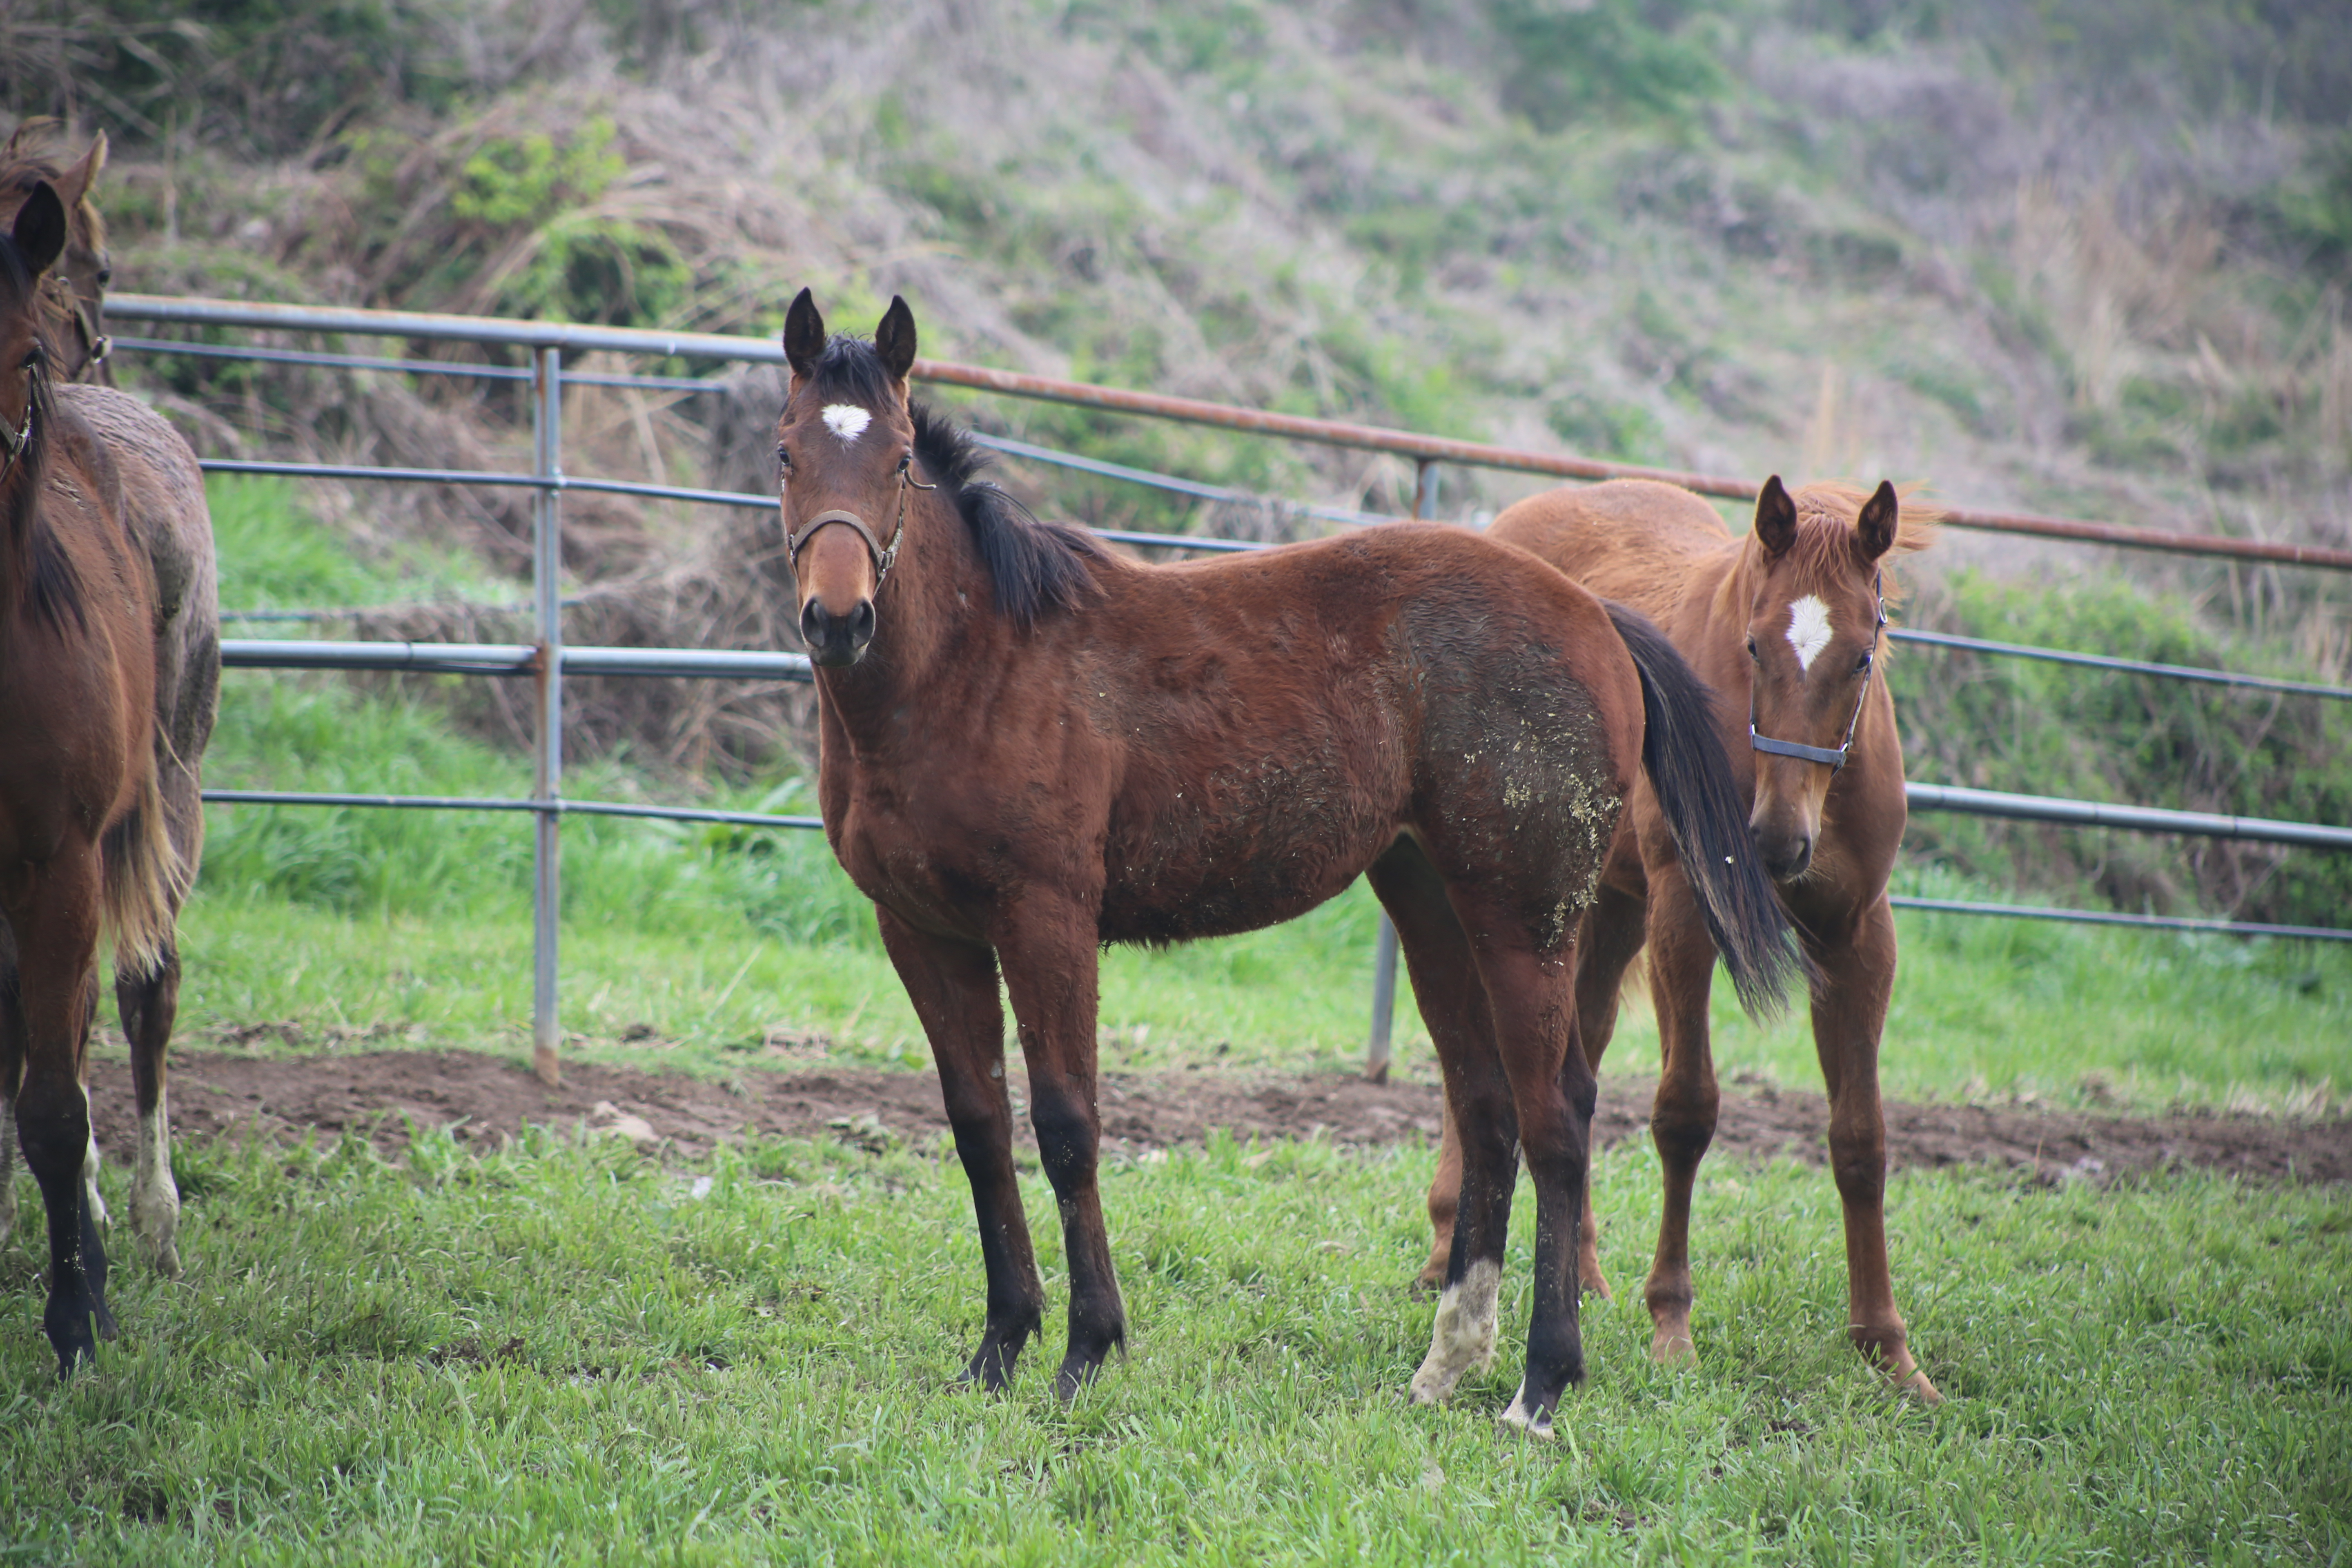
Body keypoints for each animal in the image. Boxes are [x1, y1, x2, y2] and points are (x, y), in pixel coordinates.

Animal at [1421, 472, 1938, 1401]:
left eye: (1863, 656)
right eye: (1755, 646)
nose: (1776, 843)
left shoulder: (1859, 934)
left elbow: (1861, 1137)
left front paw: (1888, 1349)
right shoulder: (1684, 916)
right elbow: (1686, 1113)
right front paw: (1672, 1326)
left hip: (1603, 907)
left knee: (1575, 1062)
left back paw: (1583, 1275)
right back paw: (1449, 1248)